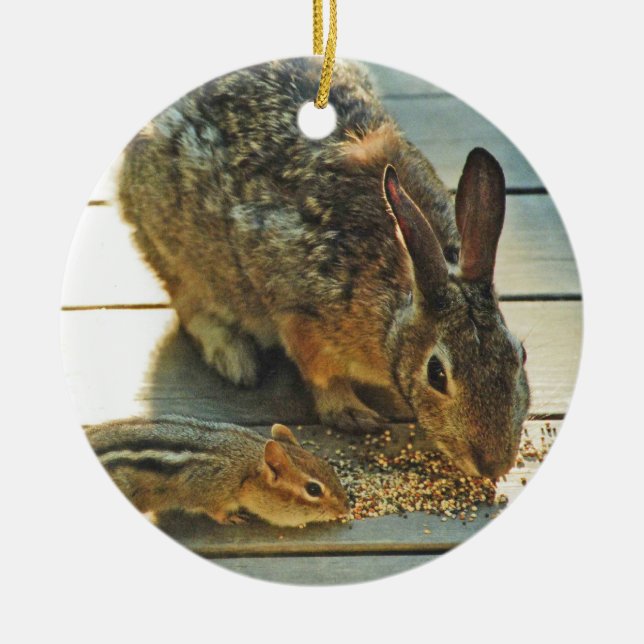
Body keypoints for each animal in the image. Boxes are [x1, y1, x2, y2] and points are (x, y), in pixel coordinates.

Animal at [85, 415, 350, 527]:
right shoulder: (208, 490)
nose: (345, 509)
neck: (244, 469)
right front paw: (230, 518)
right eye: (313, 489)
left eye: (329, 466)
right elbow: (213, 510)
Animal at [118, 57, 530, 479]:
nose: (494, 464)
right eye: (436, 373)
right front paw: (353, 413)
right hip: (179, 252)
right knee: (189, 304)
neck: (395, 305)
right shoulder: (299, 313)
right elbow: (321, 373)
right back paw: (235, 360)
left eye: (520, 356)